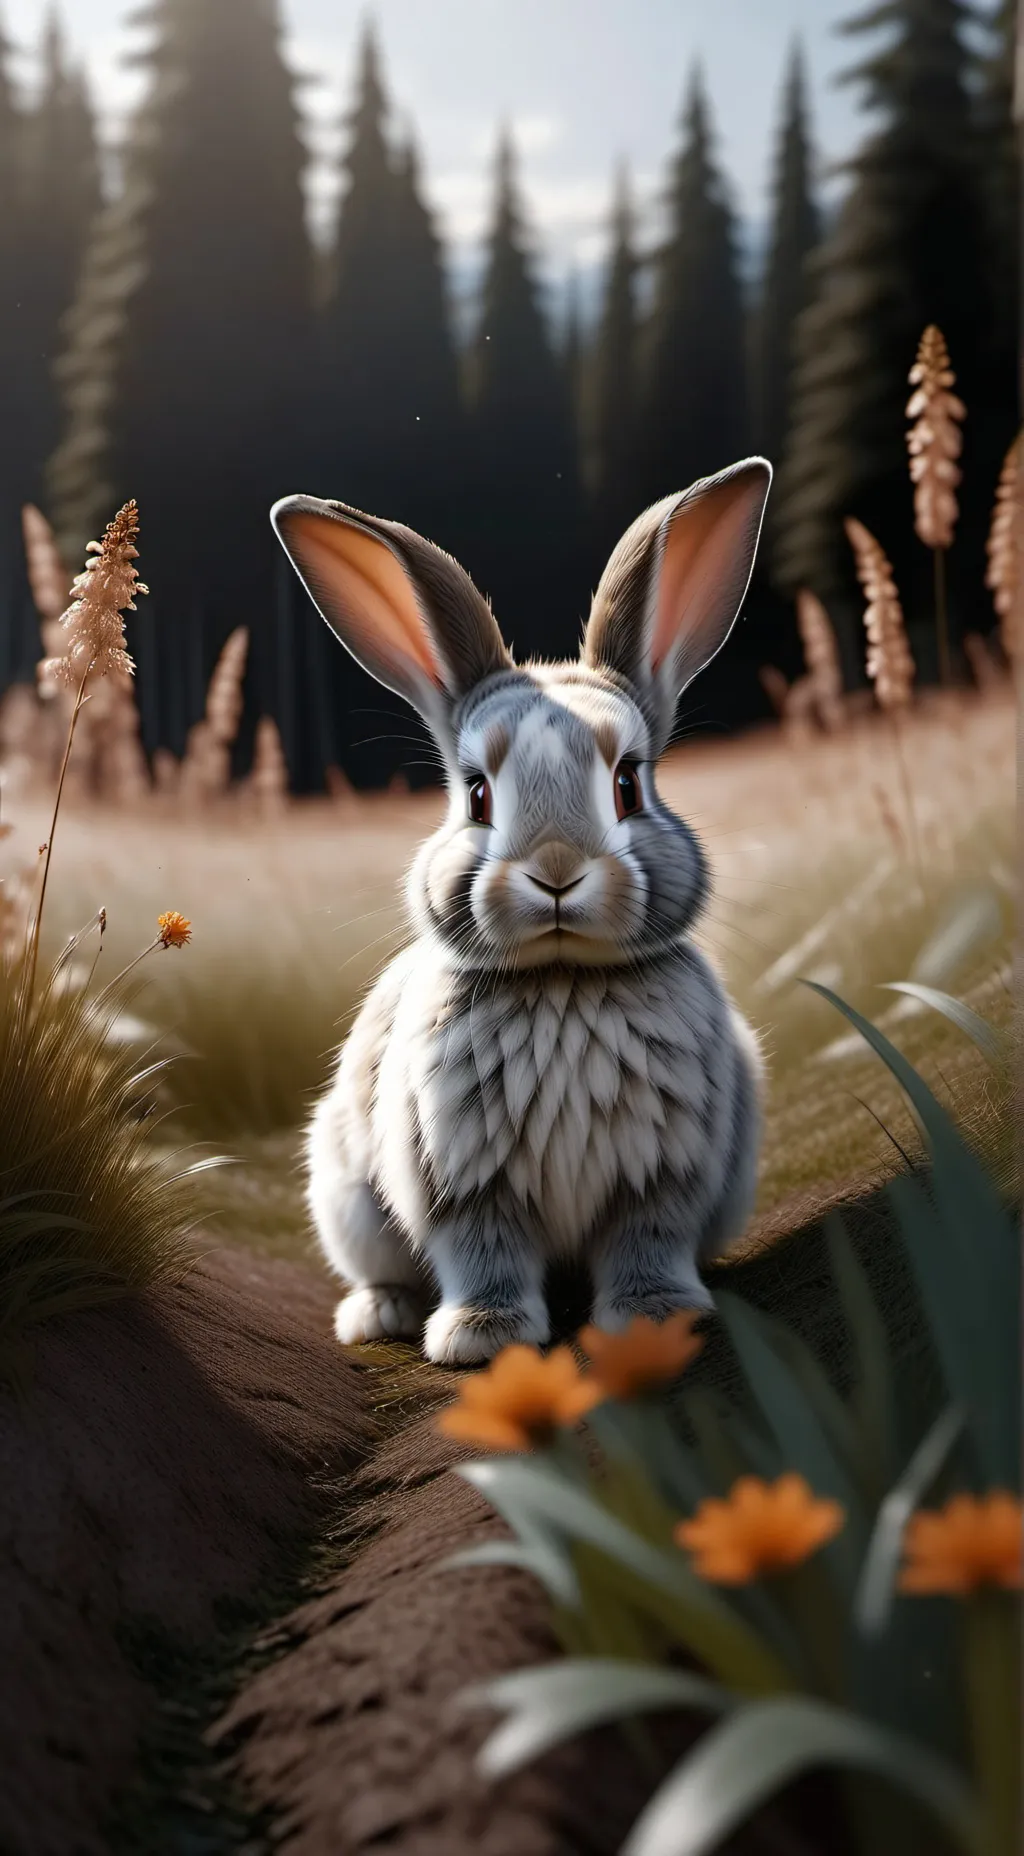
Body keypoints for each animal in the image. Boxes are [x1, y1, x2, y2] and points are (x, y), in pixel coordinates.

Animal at [271, 456, 772, 1366]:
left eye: (628, 784)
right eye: (476, 795)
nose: (556, 873)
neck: (561, 977)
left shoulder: (661, 1178)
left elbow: (645, 1244)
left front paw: (656, 1320)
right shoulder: (462, 1184)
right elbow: (484, 1256)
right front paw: (482, 1339)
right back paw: (379, 1314)